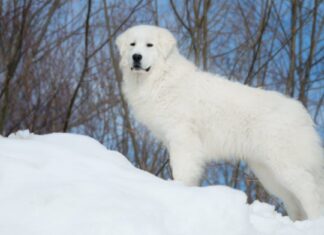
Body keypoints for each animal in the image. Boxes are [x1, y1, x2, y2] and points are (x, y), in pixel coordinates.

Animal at [115, 24, 322, 219]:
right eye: (132, 44)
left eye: (149, 45)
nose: (136, 57)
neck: (161, 78)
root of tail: (302, 113)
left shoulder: (183, 140)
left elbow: (182, 172)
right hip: (268, 173)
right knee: (295, 204)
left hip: (286, 167)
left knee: (310, 193)